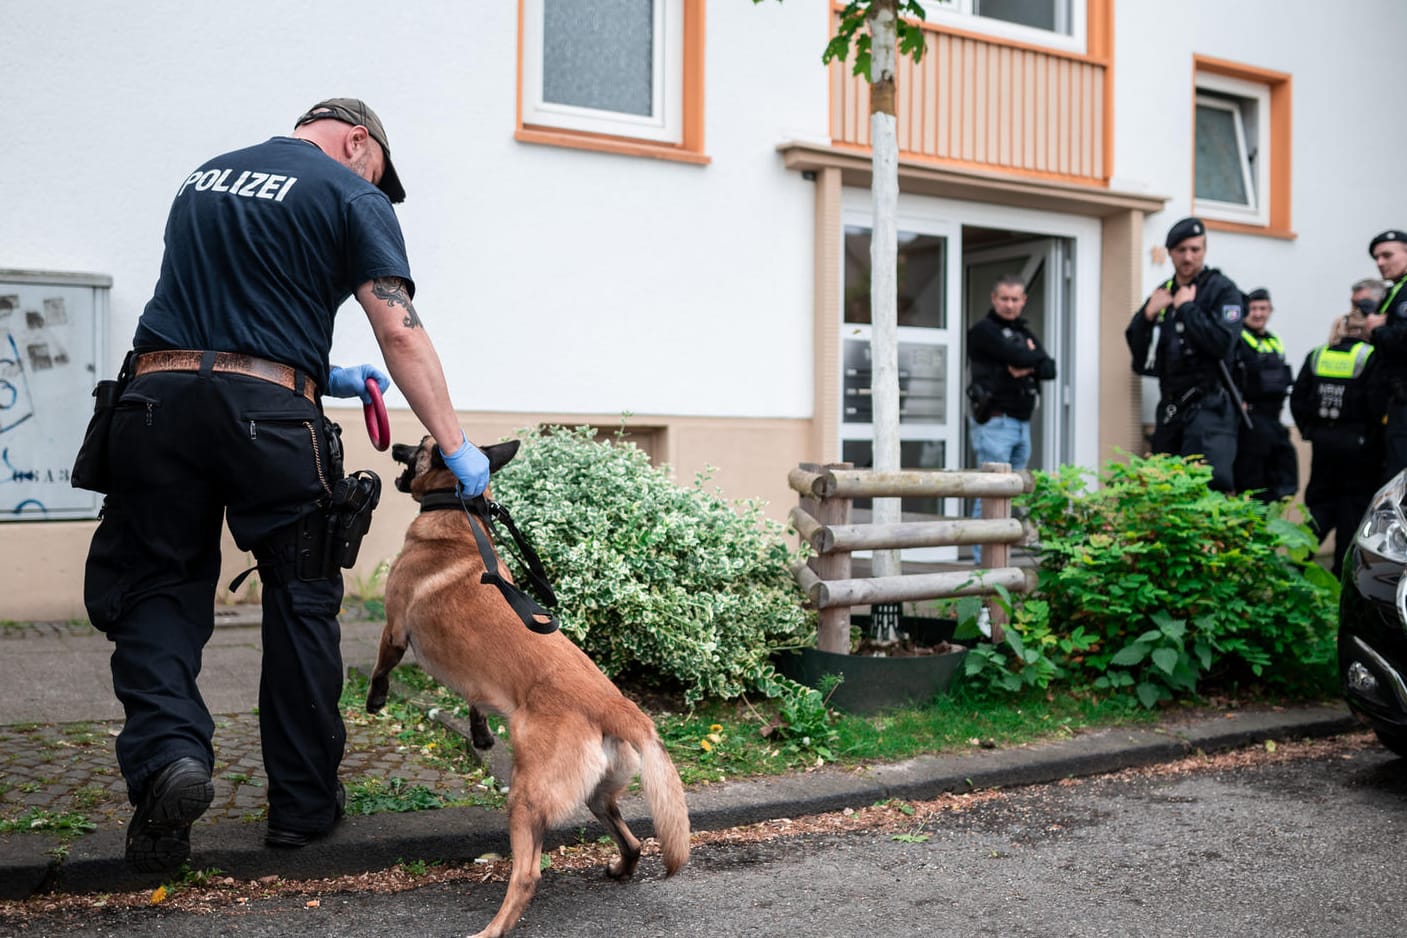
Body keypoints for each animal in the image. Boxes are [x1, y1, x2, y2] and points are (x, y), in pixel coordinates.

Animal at [365, 438, 689, 938]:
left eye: (419, 447)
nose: (395, 444)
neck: (458, 520)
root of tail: (618, 707)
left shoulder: (395, 630)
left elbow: (382, 667)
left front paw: (375, 699)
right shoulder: (476, 681)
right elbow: (474, 702)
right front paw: (480, 735)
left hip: (526, 798)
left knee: (528, 875)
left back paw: (493, 929)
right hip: (595, 795)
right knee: (633, 841)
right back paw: (621, 869)